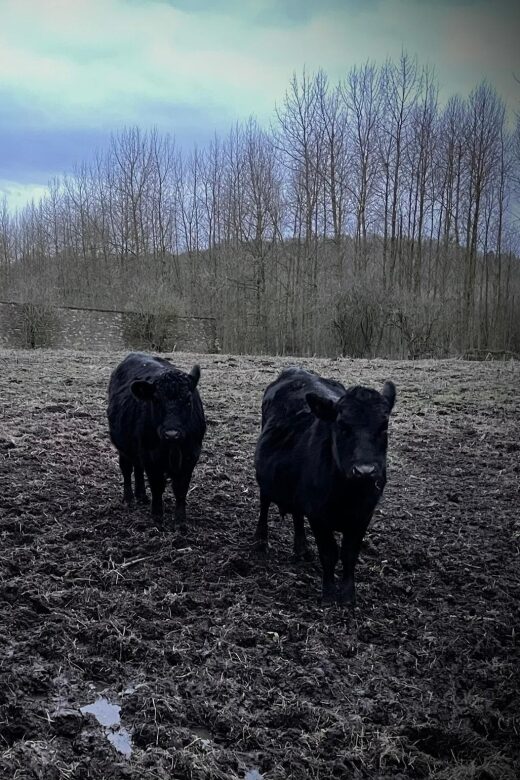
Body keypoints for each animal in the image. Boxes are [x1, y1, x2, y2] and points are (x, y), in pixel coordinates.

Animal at [107, 352, 206, 531]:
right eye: (156, 400)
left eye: (188, 400)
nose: (172, 434)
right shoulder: (151, 456)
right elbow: (157, 485)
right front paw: (157, 515)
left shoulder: (191, 456)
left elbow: (181, 488)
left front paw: (180, 520)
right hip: (124, 447)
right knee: (127, 469)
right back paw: (129, 499)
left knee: (138, 468)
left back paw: (141, 496)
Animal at [254, 367, 396, 606]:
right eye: (342, 425)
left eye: (383, 426)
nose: (365, 471)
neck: (348, 495)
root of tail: (295, 370)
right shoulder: (318, 515)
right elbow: (329, 553)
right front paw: (329, 594)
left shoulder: (363, 515)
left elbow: (349, 554)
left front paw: (348, 595)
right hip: (266, 478)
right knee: (265, 502)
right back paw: (261, 540)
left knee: (297, 514)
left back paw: (301, 548)